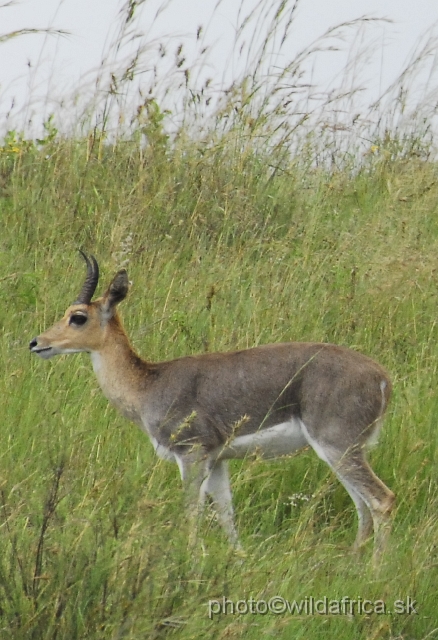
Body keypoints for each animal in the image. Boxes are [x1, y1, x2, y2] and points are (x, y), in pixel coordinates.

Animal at [29, 252, 396, 564]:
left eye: (78, 317)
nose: (37, 343)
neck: (148, 383)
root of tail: (382, 377)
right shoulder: (219, 460)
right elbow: (225, 513)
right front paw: (239, 559)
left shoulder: (192, 454)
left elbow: (193, 512)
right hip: (344, 452)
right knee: (362, 506)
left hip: (338, 447)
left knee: (381, 500)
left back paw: (375, 570)